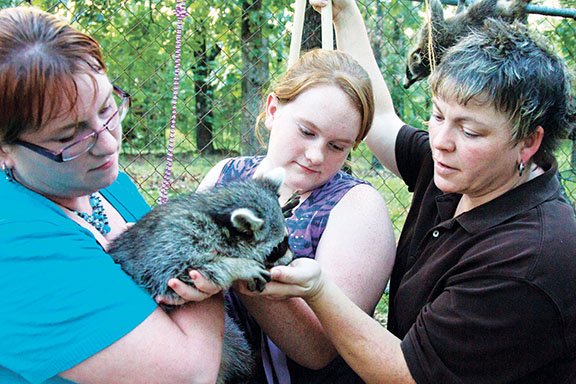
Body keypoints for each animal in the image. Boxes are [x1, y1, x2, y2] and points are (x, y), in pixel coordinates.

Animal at [108, 169, 292, 384]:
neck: (213, 216)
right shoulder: (171, 248)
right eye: (279, 247)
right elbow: (177, 274)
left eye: (286, 240)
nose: (291, 259)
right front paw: (237, 266)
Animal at [400, 0, 532, 88]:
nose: (406, 86)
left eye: (409, 74)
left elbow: (436, 12)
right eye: (414, 77)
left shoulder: (433, 35)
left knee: (483, 6)